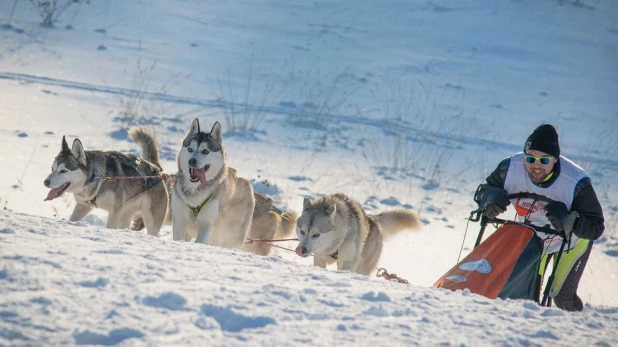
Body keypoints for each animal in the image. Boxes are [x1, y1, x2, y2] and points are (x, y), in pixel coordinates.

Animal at [168, 118, 253, 249]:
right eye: (190, 149)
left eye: (205, 151)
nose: (192, 161)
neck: (195, 192)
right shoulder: (179, 220)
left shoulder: (207, 224)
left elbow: (199, 241)